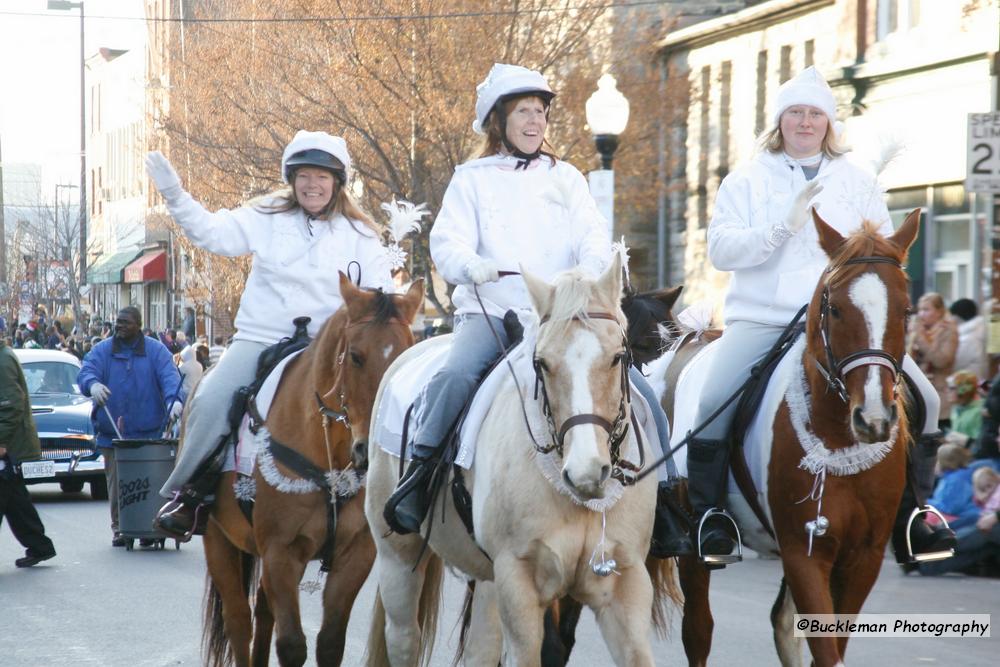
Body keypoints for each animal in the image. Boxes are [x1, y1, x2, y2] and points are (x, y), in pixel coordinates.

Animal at [203, 272, 422, 667]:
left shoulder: (355, 555)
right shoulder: (280, 552)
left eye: (405, 356)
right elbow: (292, 644)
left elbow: (330, 642)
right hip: (218, 537)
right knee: (239, 620)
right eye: (356, 357)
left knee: (262, 612)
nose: (369, 449)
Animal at [360, 254, 680, 667]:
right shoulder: (519, 582)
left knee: (479, 650)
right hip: (398, 560)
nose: (587, 472)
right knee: (404, 638)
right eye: (542, 362)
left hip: (486, 581)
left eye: (617, 357)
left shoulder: (625, 584)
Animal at [676, 210, 916, 667]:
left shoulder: (863, 558)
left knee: (783, 625)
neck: (839, 438)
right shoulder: (803, 553)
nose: (874, 418)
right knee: (698, 630)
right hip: (690, 551)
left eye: (907, 309)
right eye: (835, 308)